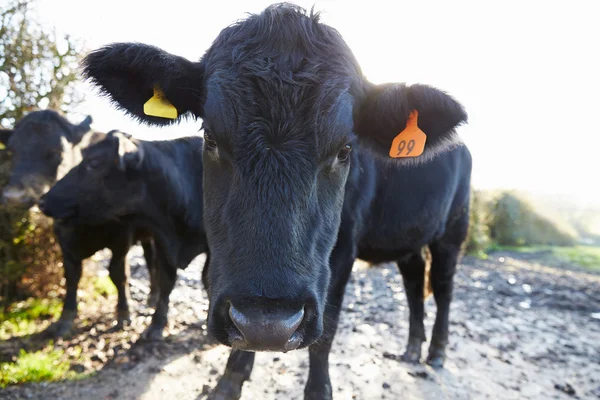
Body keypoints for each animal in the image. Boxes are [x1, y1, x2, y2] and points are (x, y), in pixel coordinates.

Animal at [0, 110, 159, 338]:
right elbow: (72, 275)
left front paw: (123, 314)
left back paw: (153, 298)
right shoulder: (64, 237)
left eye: (57, 152)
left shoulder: (122, 238)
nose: (14, 197)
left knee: (152, 261)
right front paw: (65, 319)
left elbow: (118, 273)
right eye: (12, 152)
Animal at [39, 131, 209, 340]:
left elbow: (206, 278)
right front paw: (156, 324)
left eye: (94, 162)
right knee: (151, 264)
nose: (43, 201)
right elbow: (166, 280)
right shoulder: (162, 241)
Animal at [78, 3, 468, 400]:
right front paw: (229, 381)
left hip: (454, 229)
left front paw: (318, 390)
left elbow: (326, 331)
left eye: (345, 149)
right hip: (410, 238)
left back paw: (436, 351)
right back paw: (413, 347)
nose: (269, 325)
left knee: (443, 285)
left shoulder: (342, 252)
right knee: (415, 281)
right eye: (211, 137)